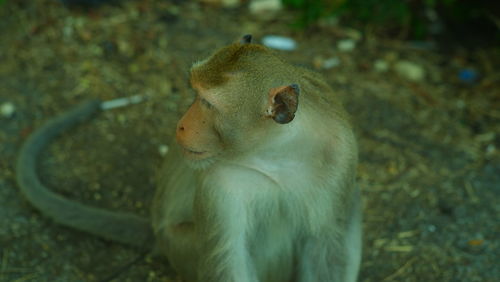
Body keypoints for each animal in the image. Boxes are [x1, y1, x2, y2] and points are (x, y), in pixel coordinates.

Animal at [15, 34, 360, 280]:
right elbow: (226, 262)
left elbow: (328, 243)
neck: (276, 152)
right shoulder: (220, 183)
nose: (181, 124)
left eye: (208, 103)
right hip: (182, 247)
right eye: (195, 93)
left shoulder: (341, 154)